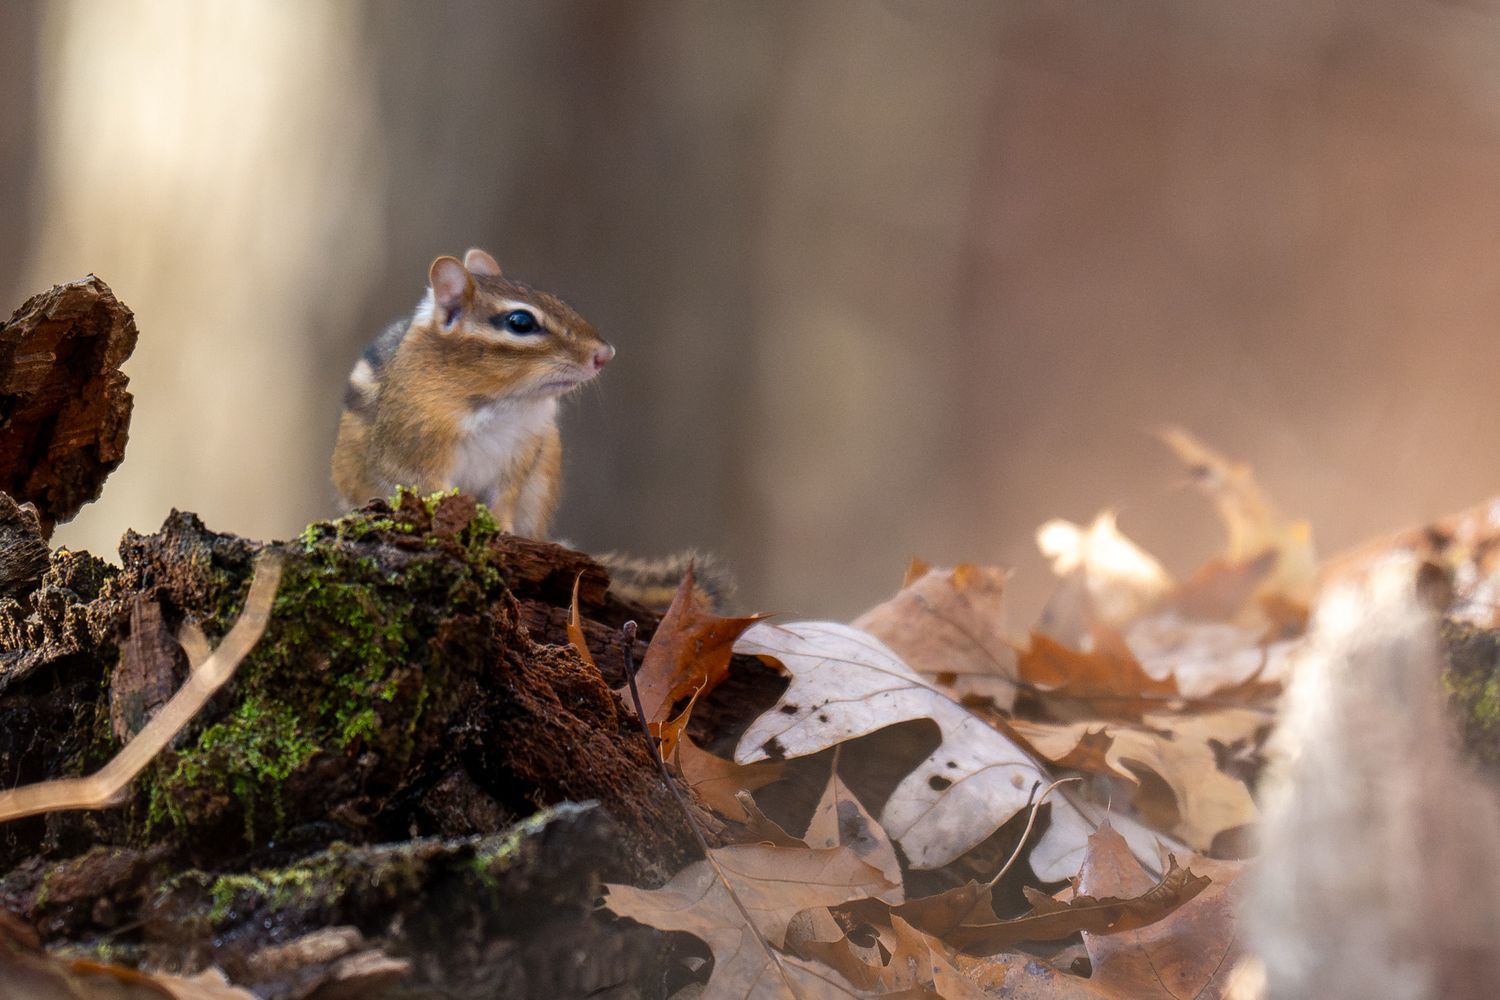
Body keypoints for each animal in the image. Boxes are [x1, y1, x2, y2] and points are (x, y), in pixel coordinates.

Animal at [332, 248, 613, 538]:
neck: (503, 404)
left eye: (558, 301)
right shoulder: (410, 452)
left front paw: (504, 531)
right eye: (520, 322)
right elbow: (433, 491)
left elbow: (504, 500)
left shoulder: (520, 455)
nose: (605, 354)